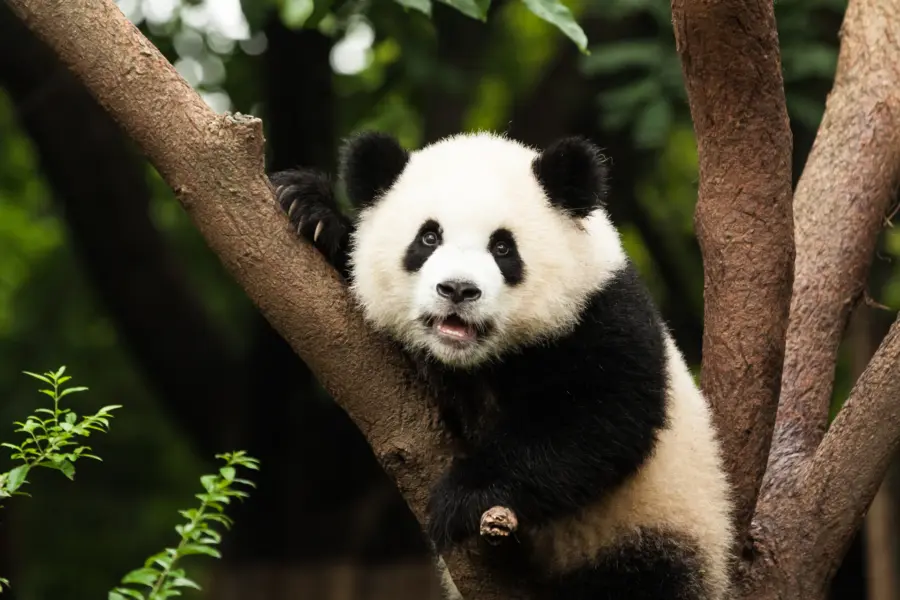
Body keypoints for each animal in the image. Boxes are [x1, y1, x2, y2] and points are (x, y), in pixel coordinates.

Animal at [270, 131, 734, 599]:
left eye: (502, 247)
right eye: (428, 238)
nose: (458, 289)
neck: (477, 361)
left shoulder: (602, 314)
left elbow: (600, 420)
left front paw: (463, 497)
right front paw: (310, 210)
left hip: (654, 528)